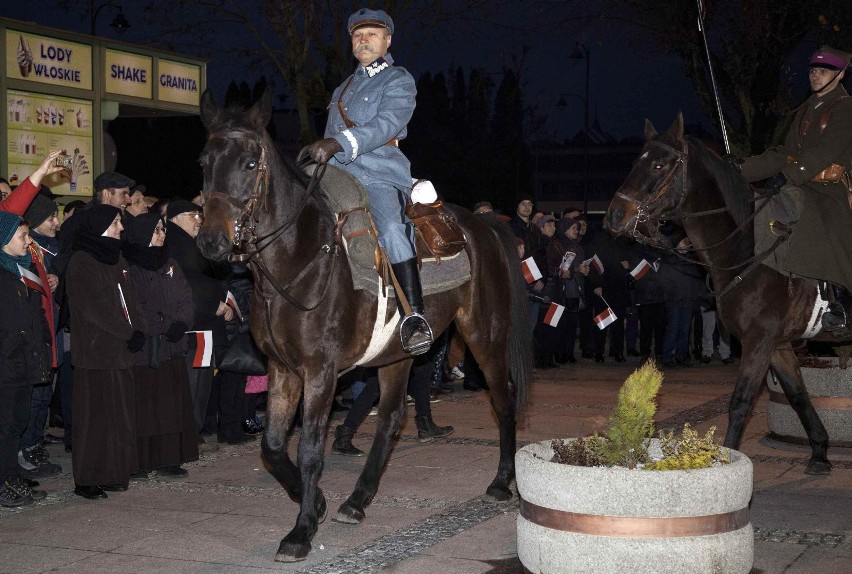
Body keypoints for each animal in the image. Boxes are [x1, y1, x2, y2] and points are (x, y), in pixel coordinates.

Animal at [193, 92, 532, 564]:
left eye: (249, 162)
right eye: (204, 162)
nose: (212, 241)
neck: (300, 257)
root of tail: (483, 224)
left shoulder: (320, 372)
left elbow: (310, 450)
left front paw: (300, 530)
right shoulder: (283, 369)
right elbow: (274, 446)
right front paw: (315, 504)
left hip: (485, 335)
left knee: (503, 399)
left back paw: (502, 482)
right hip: (397, 353)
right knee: (390, 419)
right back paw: (356, 499)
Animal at [604, 112, 848, 476]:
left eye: (660, 165)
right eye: (637, 162)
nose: (615, 216)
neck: (745, 247)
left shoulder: (759, 339)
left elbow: (741, 402)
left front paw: (726, 461)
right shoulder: (778, 344)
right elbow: (798, 395)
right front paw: (819, 452)